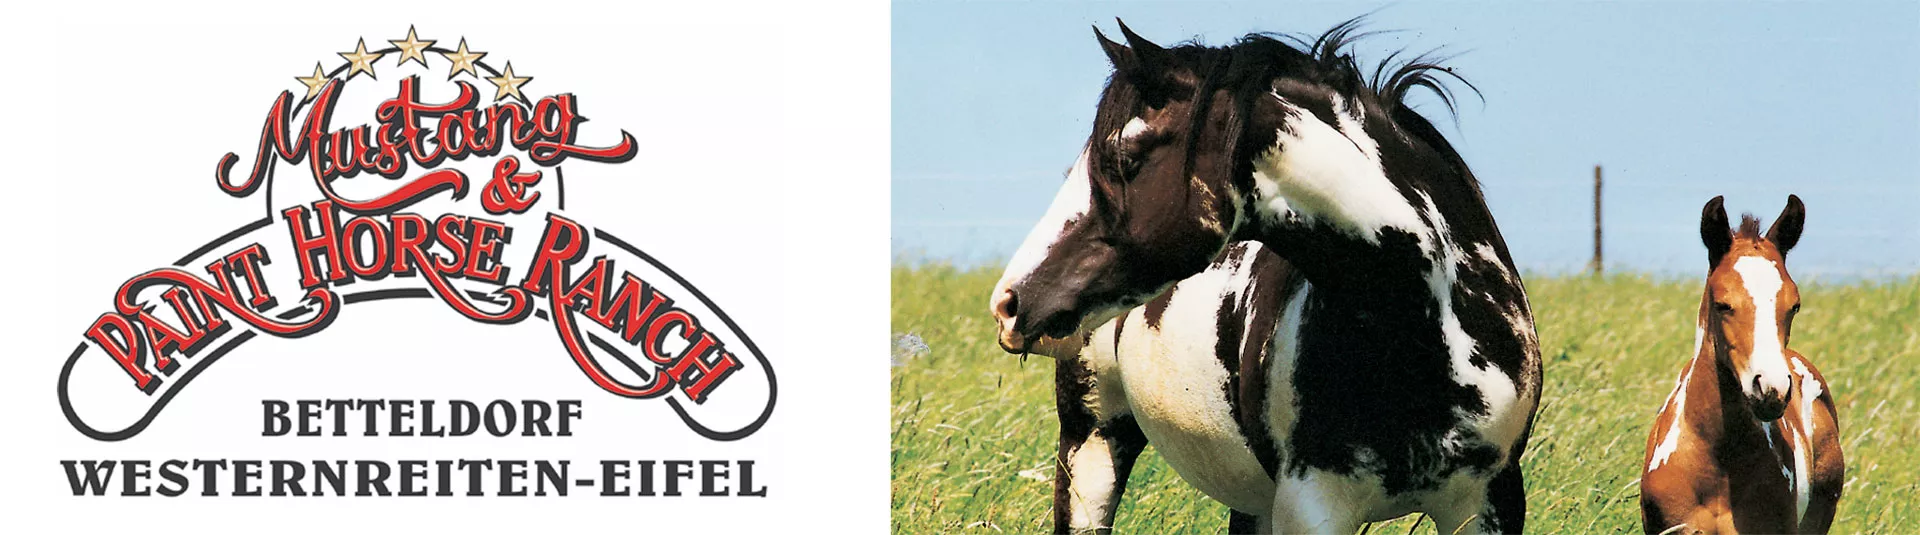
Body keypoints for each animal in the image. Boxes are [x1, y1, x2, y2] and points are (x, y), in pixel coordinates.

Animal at [987, 19, 1542, 534]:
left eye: (1125, 159)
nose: (1009, 303)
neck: (1415, 339)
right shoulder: (1313, 504)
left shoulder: (1488, 499)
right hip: (1091, 444)